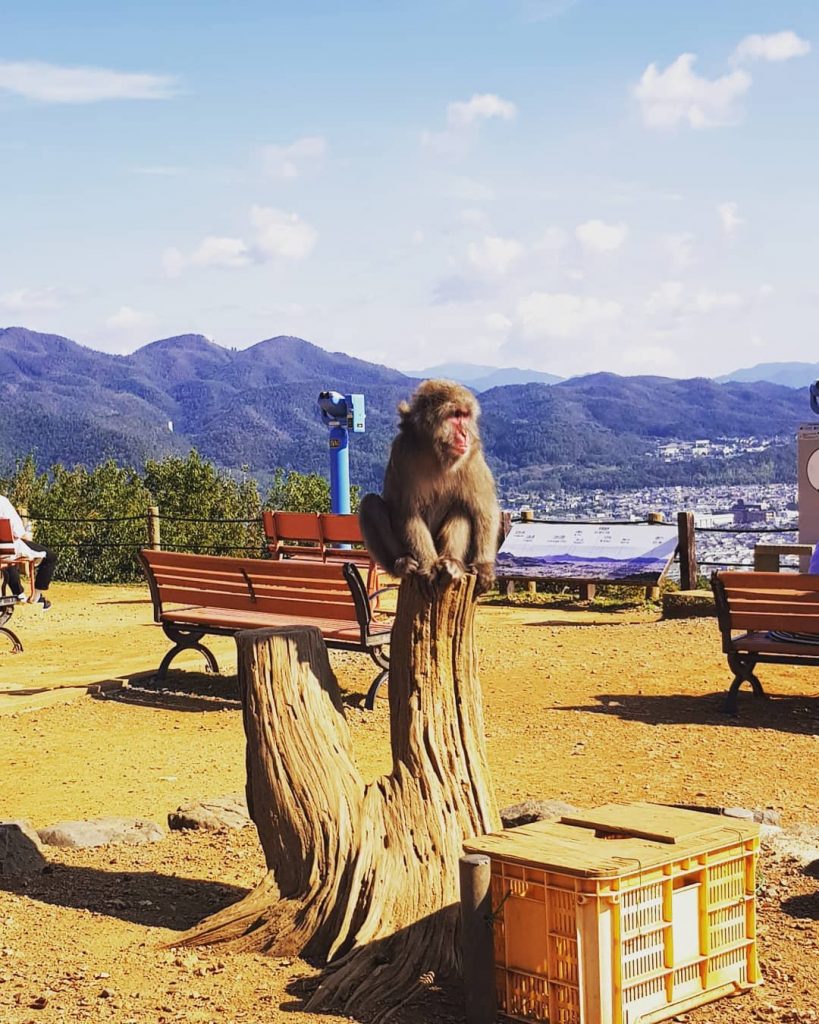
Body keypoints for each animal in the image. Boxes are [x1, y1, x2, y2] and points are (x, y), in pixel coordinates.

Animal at [359, 379, 501, 596]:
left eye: (465, 415)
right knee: (370, 504)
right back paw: (402, 564)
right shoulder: (401, 453)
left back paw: (452, 563)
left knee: (461, 508)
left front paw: (484, 566)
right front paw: (427, 566)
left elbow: (484, 510)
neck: (435, 453)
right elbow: (408, 514)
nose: (465, 434)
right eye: (455, 415)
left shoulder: (472, 457)